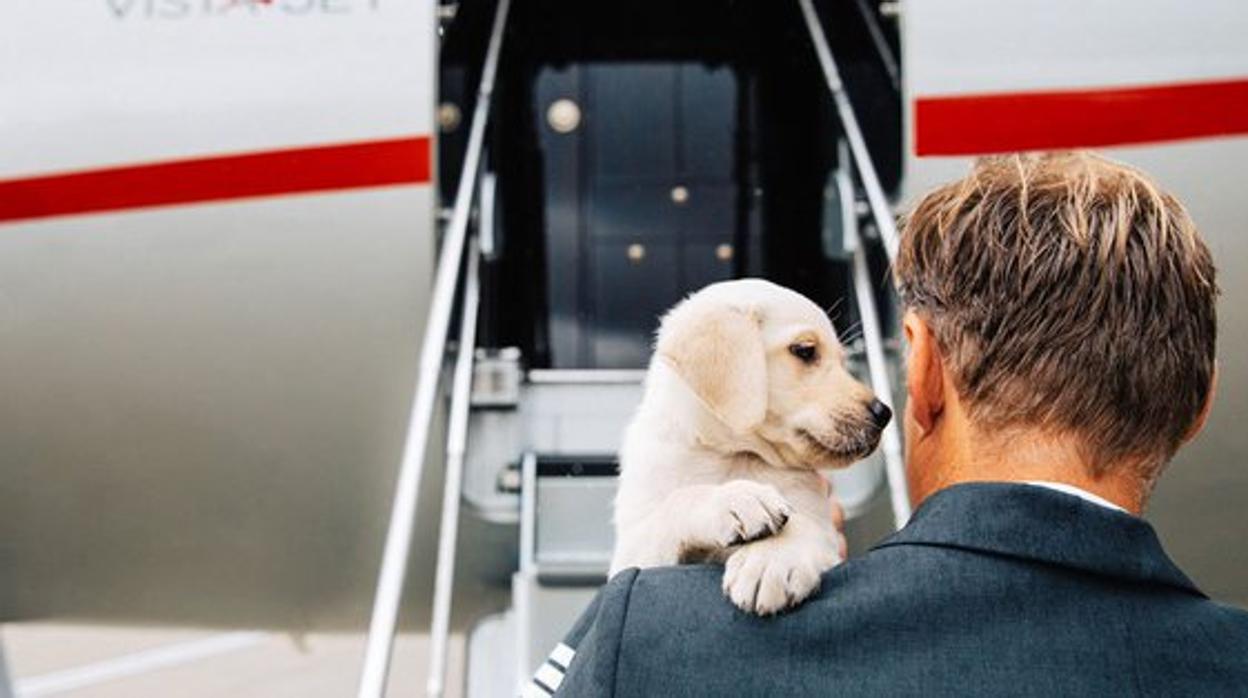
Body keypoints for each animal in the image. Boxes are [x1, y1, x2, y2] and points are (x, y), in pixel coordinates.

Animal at [611, 278, 888, 616]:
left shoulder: (821, 524)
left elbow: (806, 525)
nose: (884, 413)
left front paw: (772, 559)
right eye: (805, 351)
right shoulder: (630, 554)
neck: (732, 454)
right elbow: (678, 501)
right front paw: (736, 498)